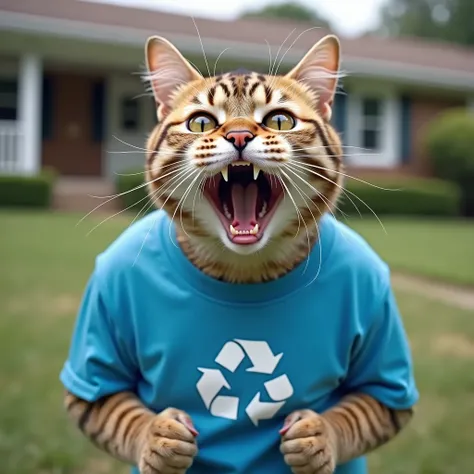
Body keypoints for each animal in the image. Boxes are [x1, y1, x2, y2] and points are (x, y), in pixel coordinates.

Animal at [60, 33, 418, 474]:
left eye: (280, 120)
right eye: (201, 122)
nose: (240, 136)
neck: (244, 270)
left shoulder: (377, 316)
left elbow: (361, 409)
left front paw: (318, 437)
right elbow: (117, 413)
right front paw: (157, 439)